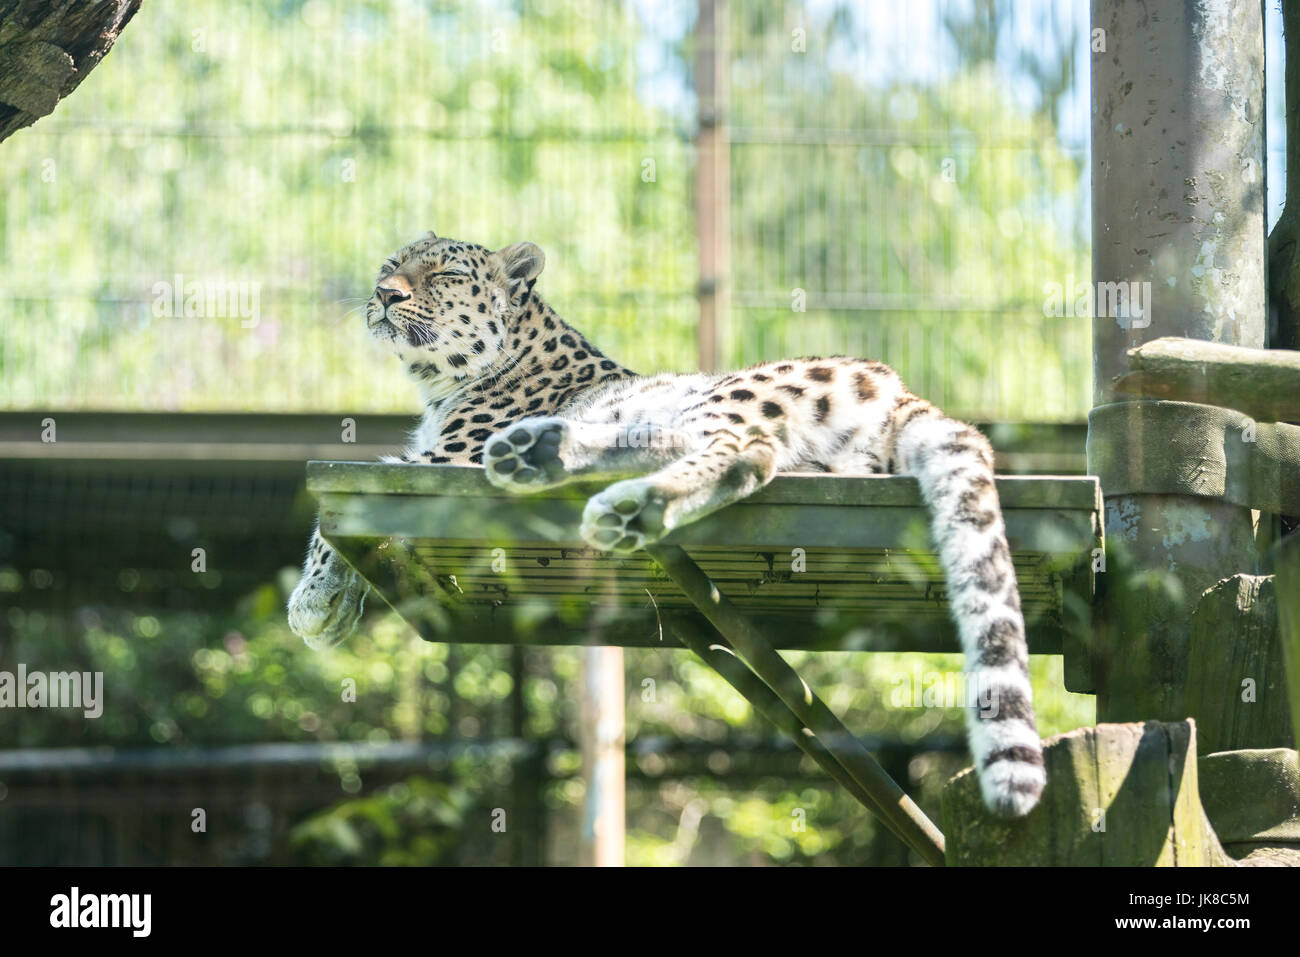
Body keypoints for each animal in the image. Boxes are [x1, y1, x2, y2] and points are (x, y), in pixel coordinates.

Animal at [287, 230, 1046, 817]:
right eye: (393, 262)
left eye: (443, 274)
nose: (384, 293)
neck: (439, 389)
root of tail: (899, 389)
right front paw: (332, 604)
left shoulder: (444, 458)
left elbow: (333, 512)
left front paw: (313, 603)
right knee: (736, 458)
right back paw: (548, 456)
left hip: (732, 393)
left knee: (741, 449)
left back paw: (608, 495)